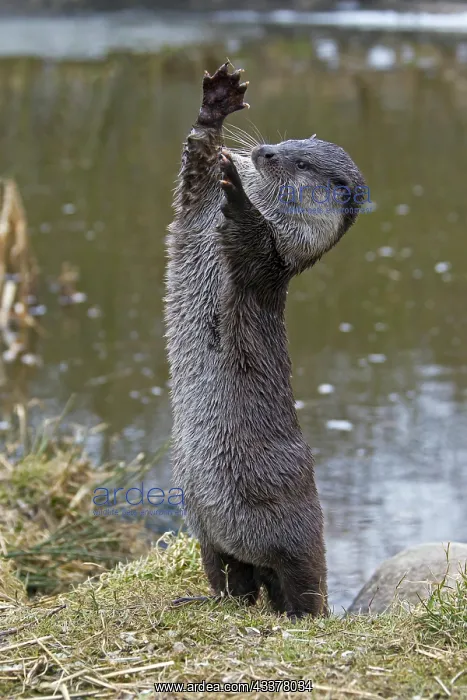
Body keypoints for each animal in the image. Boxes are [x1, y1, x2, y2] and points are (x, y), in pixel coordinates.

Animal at [165, 62, 365, 617]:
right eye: (287, 140)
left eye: (299, 161)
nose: (264, 153)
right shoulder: (195, 205)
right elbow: (195, 163)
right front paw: (215, 104)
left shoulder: (271, 259)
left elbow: (252, 238)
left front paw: (237, 192)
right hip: (207, 530)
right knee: (234, 579)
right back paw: (203, 598)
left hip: (292, 526)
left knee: (301, 581)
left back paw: (300, 614)